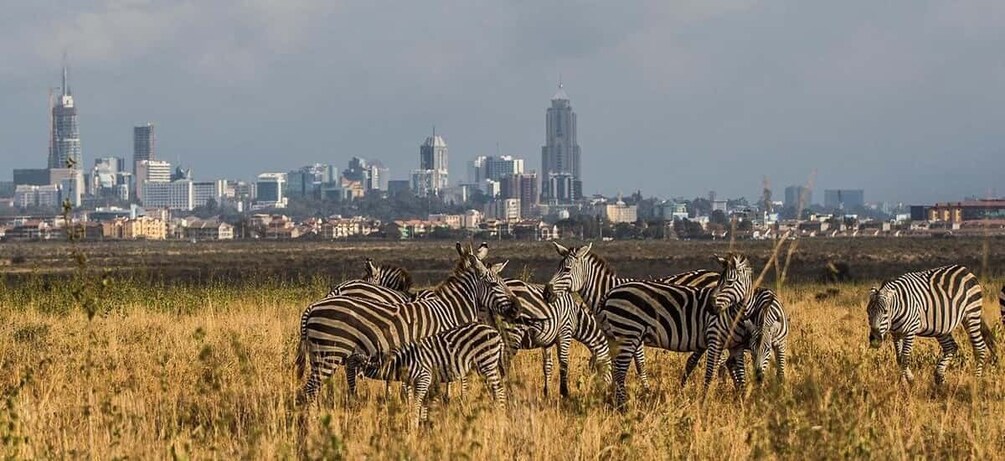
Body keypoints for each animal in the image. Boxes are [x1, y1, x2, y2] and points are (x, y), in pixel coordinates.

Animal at [293, 244, 522, 405]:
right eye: (493, 284)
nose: (518, 309)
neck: (448, 310)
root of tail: (313, 306)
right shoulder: (438, 351)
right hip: (330, 352)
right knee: (311, 390)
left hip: (320, 354)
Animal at [361, 323, 506, 427]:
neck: (402, 361)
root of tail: (497, 333)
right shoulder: (415, 382)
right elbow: (419, 402)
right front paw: (422, 424)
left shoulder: (423, 377)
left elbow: (416, 403)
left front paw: (414, 426)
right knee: (495, 390)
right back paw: (495, 410)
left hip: (487, 362)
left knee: (499, 389)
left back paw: (500, 413)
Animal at [542, 242, 731, 393]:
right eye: (556, 268)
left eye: (566, 269)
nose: (546, 292)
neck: (605, 292)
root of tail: (716, 274)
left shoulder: (633, 332)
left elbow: (639, 364)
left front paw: (645, 390)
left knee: (719, 358)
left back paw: (718, 386)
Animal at [864, 265, 996, 383]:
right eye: (868, 312)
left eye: (885, 312)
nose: (875, 340)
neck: (896, 313)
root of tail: (966, 270)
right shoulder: (896, 333)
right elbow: (899, 358)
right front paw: (909, 379)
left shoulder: (910, 330)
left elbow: (905, 357)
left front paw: (905, 382)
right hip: (941, 326)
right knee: (951, 347)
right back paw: (940, 377)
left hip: (971, 314)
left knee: (979, 347)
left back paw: (976, 380)